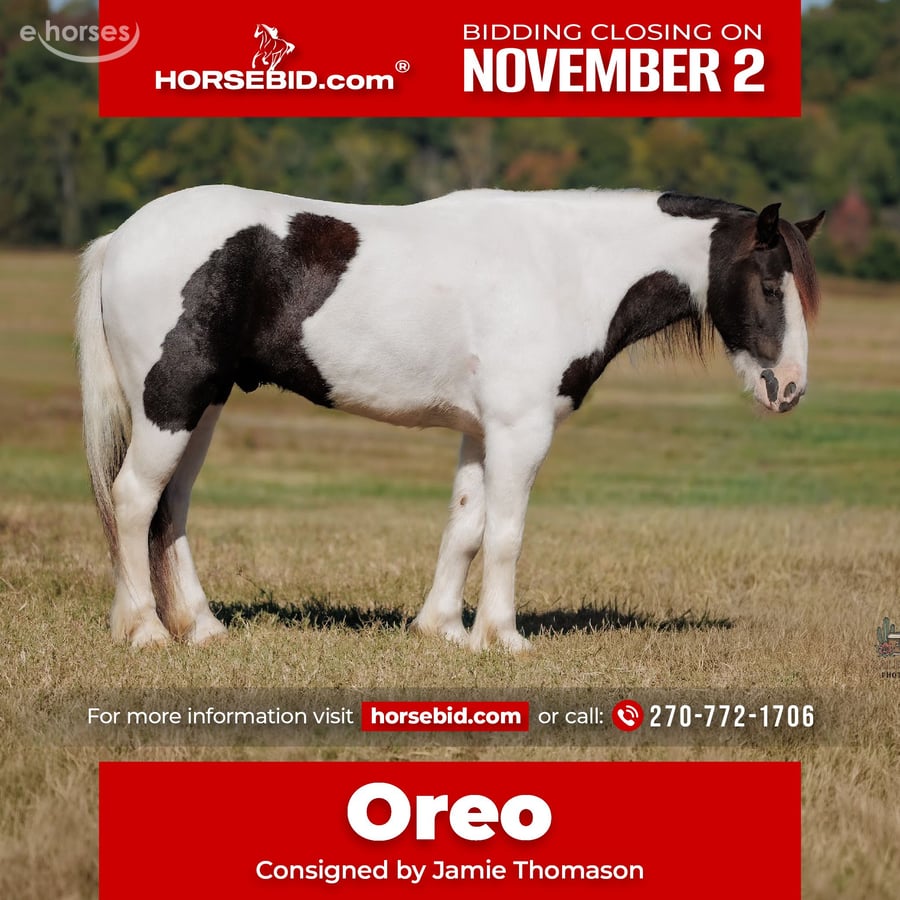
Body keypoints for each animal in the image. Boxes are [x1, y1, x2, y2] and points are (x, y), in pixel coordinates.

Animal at [76, 186, 823, 651]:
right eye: (768, 284)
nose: (788, 388)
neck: (563, 267)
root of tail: (120, 238)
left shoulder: (480, 431)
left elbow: (464, 527)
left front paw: (442, 629)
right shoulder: (521, 431)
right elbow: (505, 534)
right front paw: (503, 637)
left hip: (200, 408)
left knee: (170, 508)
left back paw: (200, 627)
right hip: (171, 402)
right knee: (134, 499)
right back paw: (145, 631)